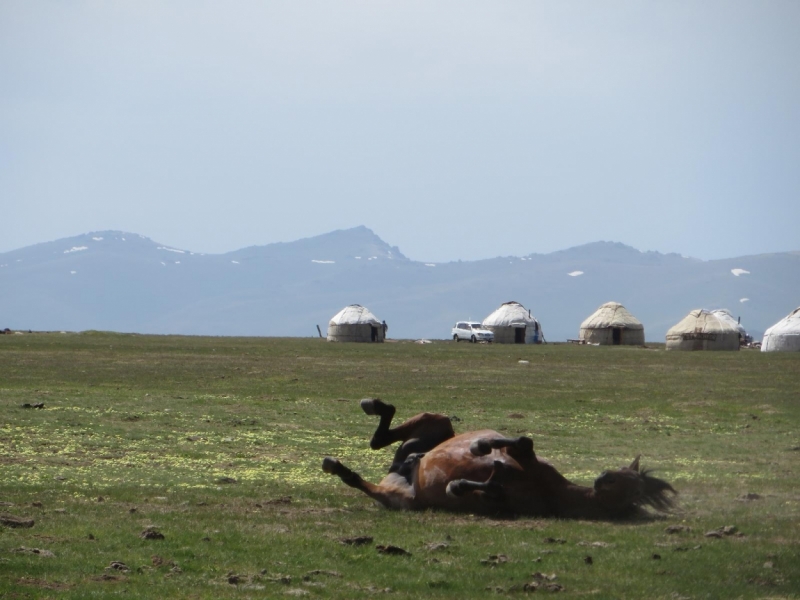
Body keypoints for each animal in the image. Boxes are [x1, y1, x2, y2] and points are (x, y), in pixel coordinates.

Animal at [322, 398, 680, 520]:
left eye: (635, 489)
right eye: (623, 472)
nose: (603, 476)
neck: (555, 492)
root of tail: (399, 472)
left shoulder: (503, 500)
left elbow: (490, 489)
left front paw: (460, 485)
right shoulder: (523, 456)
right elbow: (520, 440)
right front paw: (482, 446)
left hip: (401, 498)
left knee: (361, 477)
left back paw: (338, 466)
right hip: (439, 423)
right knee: (382, 436)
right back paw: (375, 407)